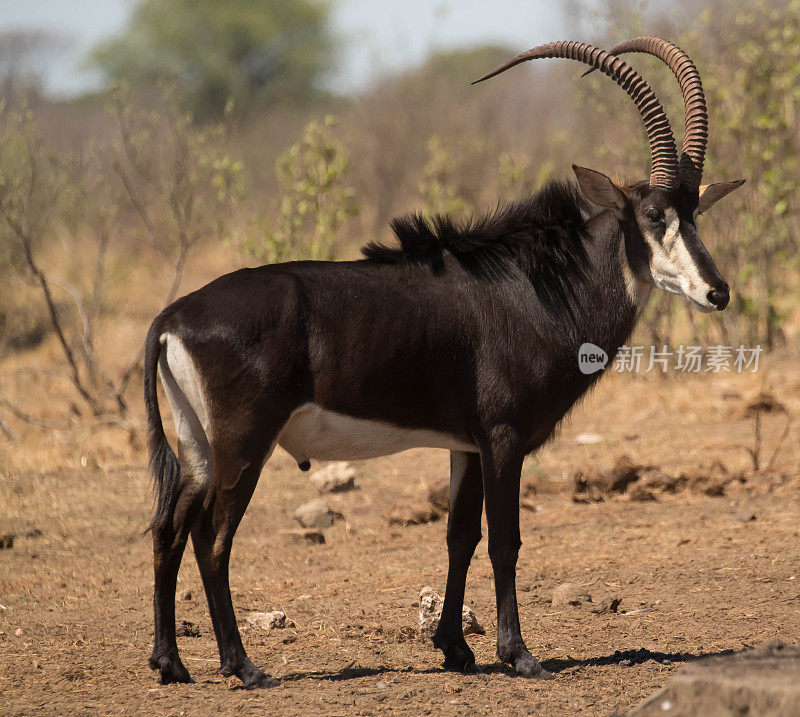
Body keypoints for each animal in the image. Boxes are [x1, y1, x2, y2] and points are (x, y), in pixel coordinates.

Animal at [144, 36, 744, 684]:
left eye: (695, 212)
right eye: (654, 215)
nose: (717, 292)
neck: (536, 284)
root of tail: (174, 316)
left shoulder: (466, 445)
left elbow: (460, 536)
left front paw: (456, 648)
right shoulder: (503, 437)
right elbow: (505, 539)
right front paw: (518, 654)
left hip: (198, 446)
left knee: (170, 528)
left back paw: (170, 663)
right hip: (244, 442)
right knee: (213, 536)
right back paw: (242, 666)